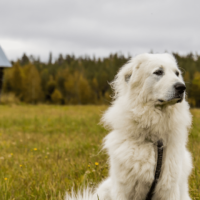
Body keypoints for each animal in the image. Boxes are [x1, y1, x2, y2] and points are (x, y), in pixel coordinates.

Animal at [65, 53, 192, 200]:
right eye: (158, 72)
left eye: (177, 73)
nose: (182, 87)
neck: (153, 140)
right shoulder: (123, 188)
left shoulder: (169, 188)